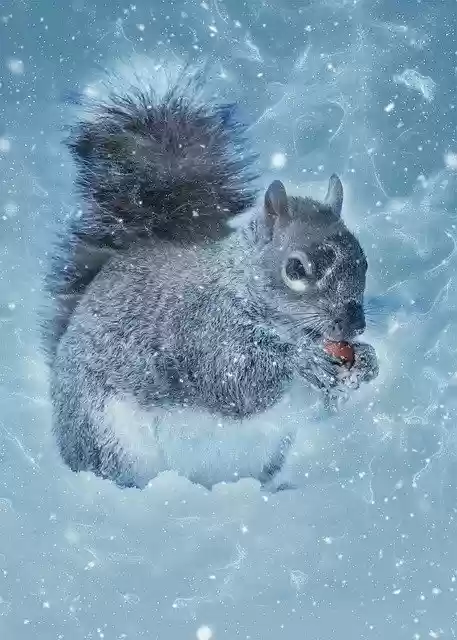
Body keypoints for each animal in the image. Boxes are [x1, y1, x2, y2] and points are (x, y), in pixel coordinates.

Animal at [43, 65, 379, 490]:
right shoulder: (201, 330)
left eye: (364, 262)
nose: (355, 325)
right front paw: (302, 359)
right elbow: (233, 381)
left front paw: (367, 360)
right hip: (110, 438)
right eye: (296, 269)